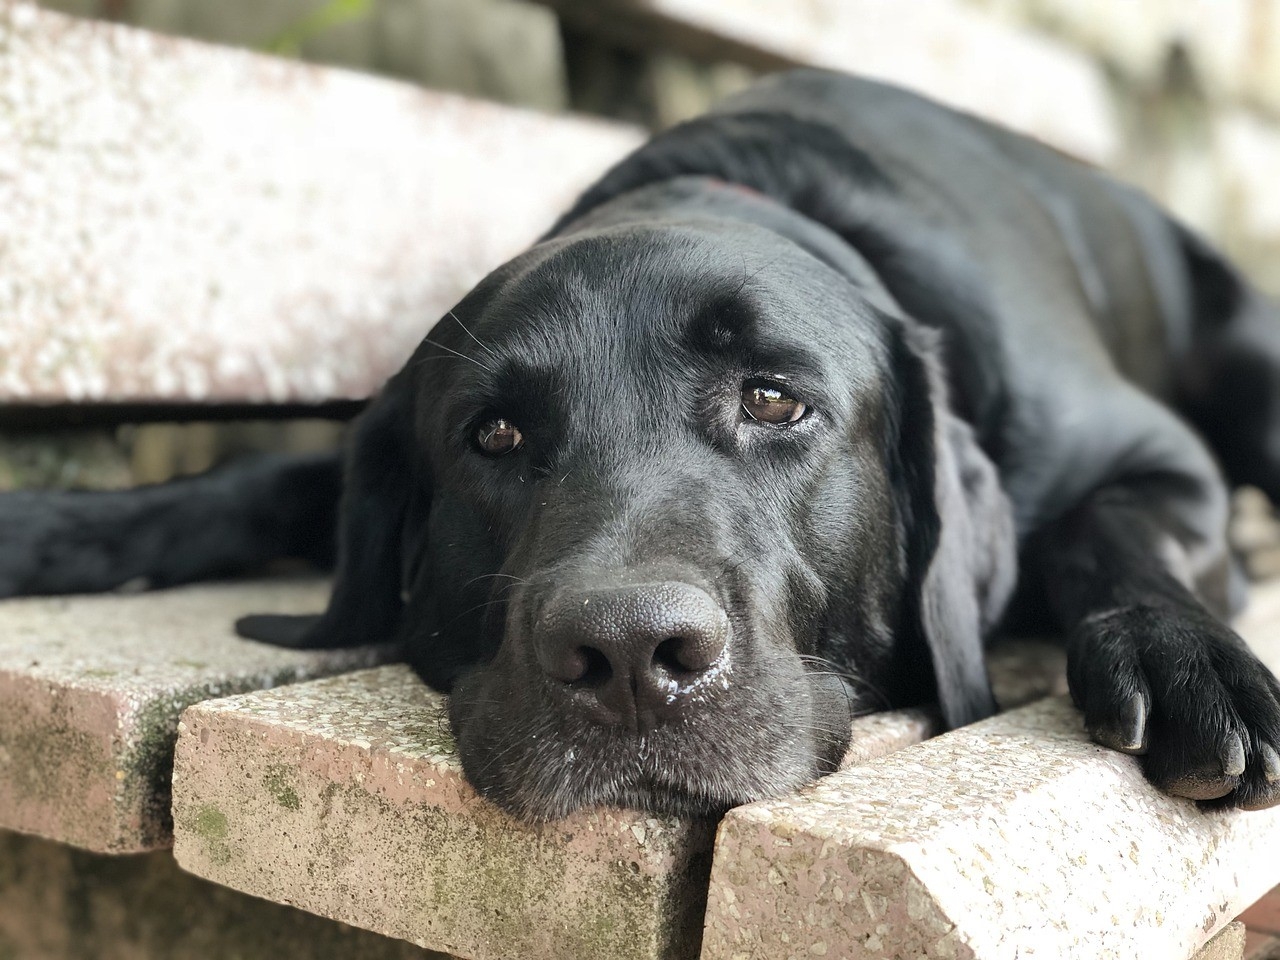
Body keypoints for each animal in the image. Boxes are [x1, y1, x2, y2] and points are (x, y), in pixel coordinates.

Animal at [7, 69, 1280, 819]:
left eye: (774, 402)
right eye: (494, 433)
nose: (626, 656)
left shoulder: (1157, 463)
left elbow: (1102, 531)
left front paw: (1183, 660)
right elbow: (255, 479)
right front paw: (52, 528)